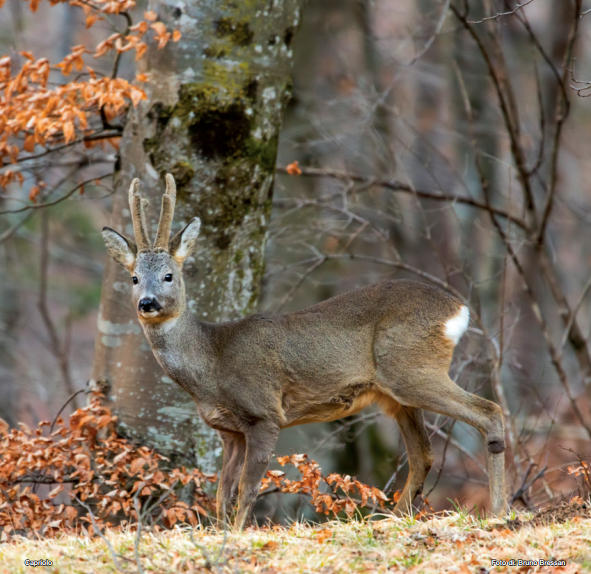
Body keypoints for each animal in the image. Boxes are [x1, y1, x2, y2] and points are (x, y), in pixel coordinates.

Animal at [99, 174, 506, 532]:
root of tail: (458, 309)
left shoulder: (264, 413)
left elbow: (247, 490)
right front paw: (219, 533)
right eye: (134, 278)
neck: (212, 361)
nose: (148, 303)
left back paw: (500, 512)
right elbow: (221, 494)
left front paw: (238, 535)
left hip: (411, 369)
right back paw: (391, 520)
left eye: (169, 276)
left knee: (489, 412)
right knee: (423, 453)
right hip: (396, 394)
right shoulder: (229, 431)